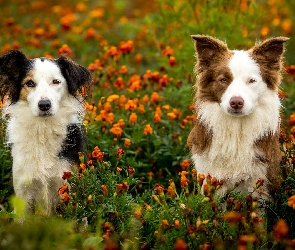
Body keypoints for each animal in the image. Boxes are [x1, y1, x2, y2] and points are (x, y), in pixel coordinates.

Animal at [0, 50, 92, 215]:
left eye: (56, 81)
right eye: (30, 83)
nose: (44, 105)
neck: (42, 129)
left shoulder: (68, 187)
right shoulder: (23, 191)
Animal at [188, 35, 290, 199]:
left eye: (252, 81)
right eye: (223, 79)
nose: (236, 102)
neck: (237, 130)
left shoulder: (261, 179)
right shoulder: (211, 175)